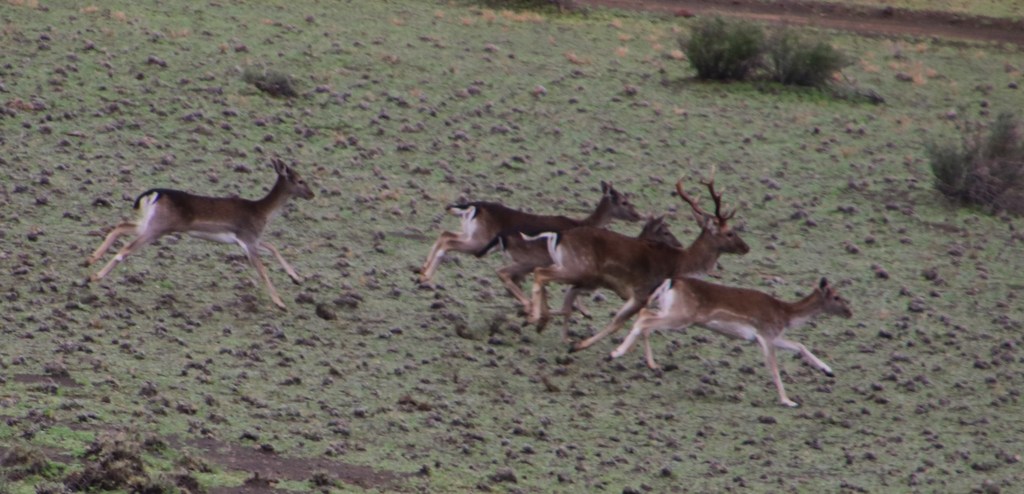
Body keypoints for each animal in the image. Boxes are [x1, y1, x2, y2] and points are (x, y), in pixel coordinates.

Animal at [85, 158, 315, 311]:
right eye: (300, 180)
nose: (312, 194)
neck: (262, 212)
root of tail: (153, 193)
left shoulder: (251, 240)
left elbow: (274, 247)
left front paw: (297, 278)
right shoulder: (248, 239)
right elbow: (263, 270)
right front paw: (280, 303)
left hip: (149, 224)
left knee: (120, 226)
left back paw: (90, 259)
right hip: (157, 228)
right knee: (126, 247)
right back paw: (95, 276)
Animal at [418, 181, 642, 285]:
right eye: (624, 201)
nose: (638, 215)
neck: (579, 223)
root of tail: (472, 206)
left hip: (470, 235)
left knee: (445, 234)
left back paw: (423, 273)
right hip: (478, 241)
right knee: (447, 240)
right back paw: (425, 274)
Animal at [482, 215, 684, 341]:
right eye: (665, 231)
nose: (679, 245)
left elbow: (566, 306)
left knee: (521, 276)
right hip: (538, 264)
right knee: (516, 273)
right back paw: (530, 314)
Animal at [525, 176, 750, 351]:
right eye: (730, 233)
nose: (746, 247)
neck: (679, 264)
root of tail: (559, 235)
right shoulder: (643, 291)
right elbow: (618, 322)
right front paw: (580, 345)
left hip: (579, 273)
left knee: (559, 290)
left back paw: (546, 325)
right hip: (577, 267)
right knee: (540, 273)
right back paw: (535, 318)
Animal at [609, 277, 853, 407]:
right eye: (836, 296)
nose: (850, 312)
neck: (785, 314)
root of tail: (671, 282)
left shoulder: (772, 336)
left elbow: (800, 346)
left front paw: (828, 371)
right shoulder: (765, 335)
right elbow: (774, 367)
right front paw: (788, 401)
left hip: (668, 310)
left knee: (643, 314)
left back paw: (650, 363)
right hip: (681, 316)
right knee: (644, 320)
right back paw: (616, 353)